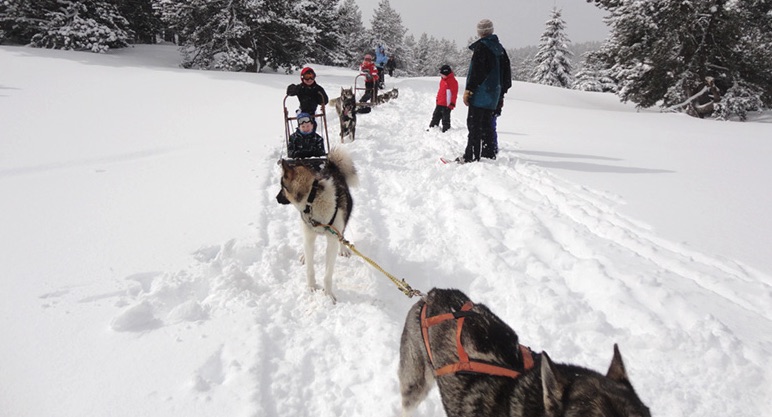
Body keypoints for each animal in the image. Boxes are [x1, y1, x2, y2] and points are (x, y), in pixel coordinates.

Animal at [274, 147, 358, 302]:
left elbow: (328, 274)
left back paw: (343, 248)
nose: (276, 198)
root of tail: (332, 167)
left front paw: (328, 294)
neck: (312, 198)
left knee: (342, 235)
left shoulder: (332, 240)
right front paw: (311, 286)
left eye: (281, 186)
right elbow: (310, 268)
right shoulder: (308, 236)